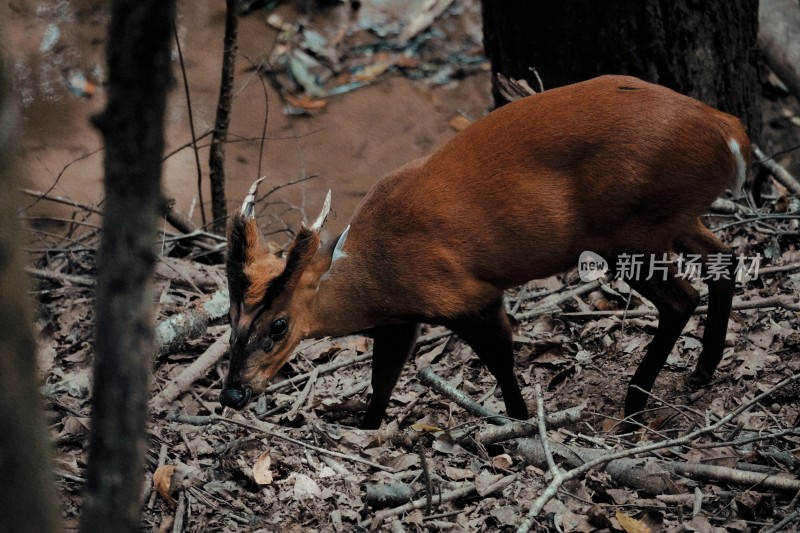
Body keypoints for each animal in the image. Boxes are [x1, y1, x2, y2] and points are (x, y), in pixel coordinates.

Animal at [220, 75, 752, 430]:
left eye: (278, 325)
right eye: (231, 316)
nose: (231, 393)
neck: (375, 273)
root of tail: (727, 130)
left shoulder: (467, 295)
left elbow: (501, 363)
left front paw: (517, 422)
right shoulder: (401, 320)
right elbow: (382, 379)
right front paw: (367, 428)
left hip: (630, 231)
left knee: (681, 298)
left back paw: (633, 407)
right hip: (673, 220)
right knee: (724, 261)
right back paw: (702, 372)